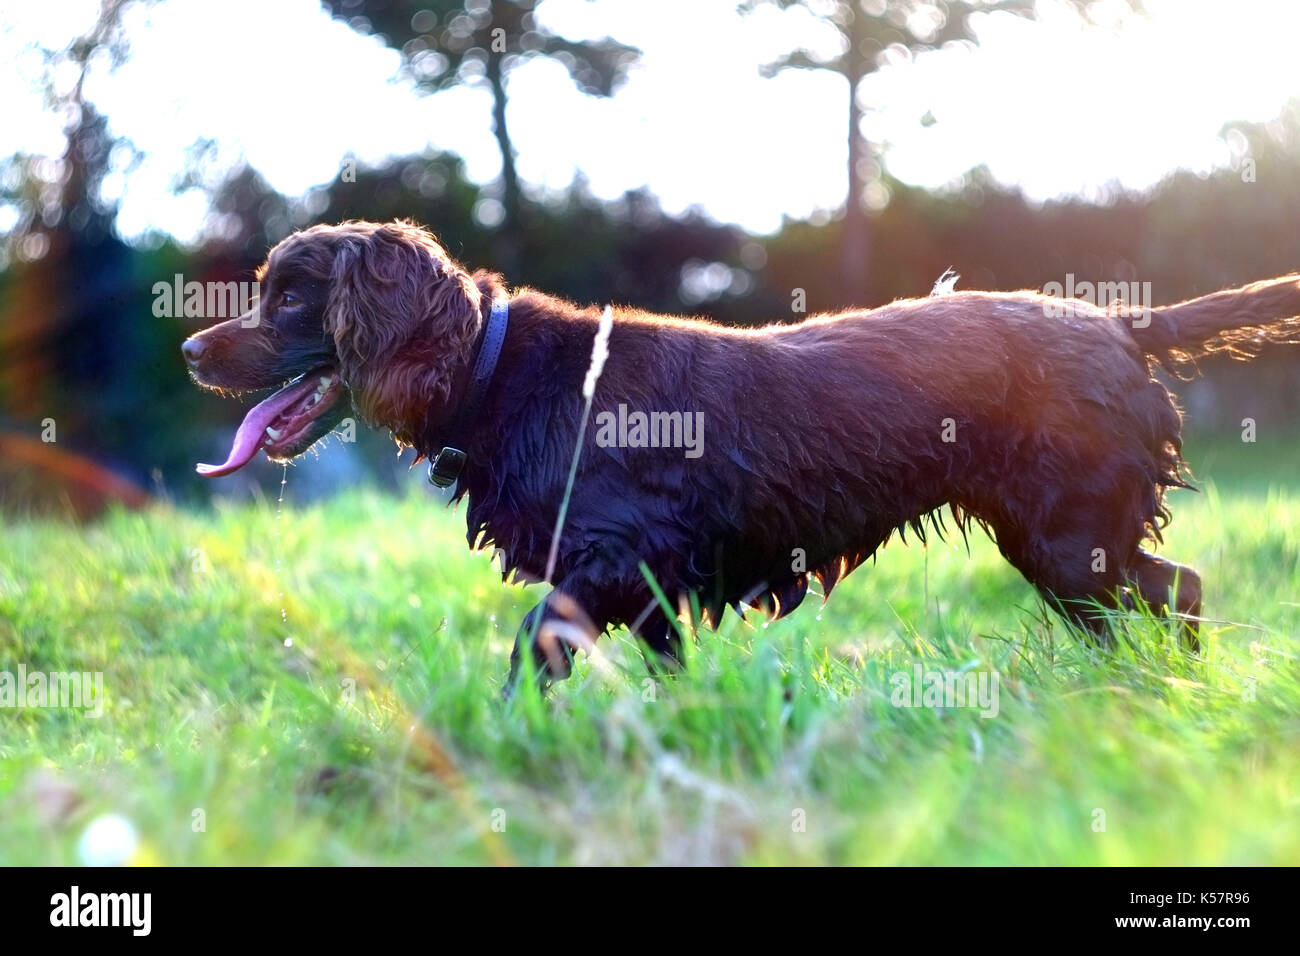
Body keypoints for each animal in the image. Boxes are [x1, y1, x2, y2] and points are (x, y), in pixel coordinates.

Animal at [183, 222, 1300, 686]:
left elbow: (531, 645)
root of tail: (1122, 323)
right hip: (1063, 545)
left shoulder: (614, 555)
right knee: (1160, 599)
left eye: (291, 294)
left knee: (1177, 591)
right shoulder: (647, 585)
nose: (191, 348)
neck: (502, 373)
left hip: (1070, 539)